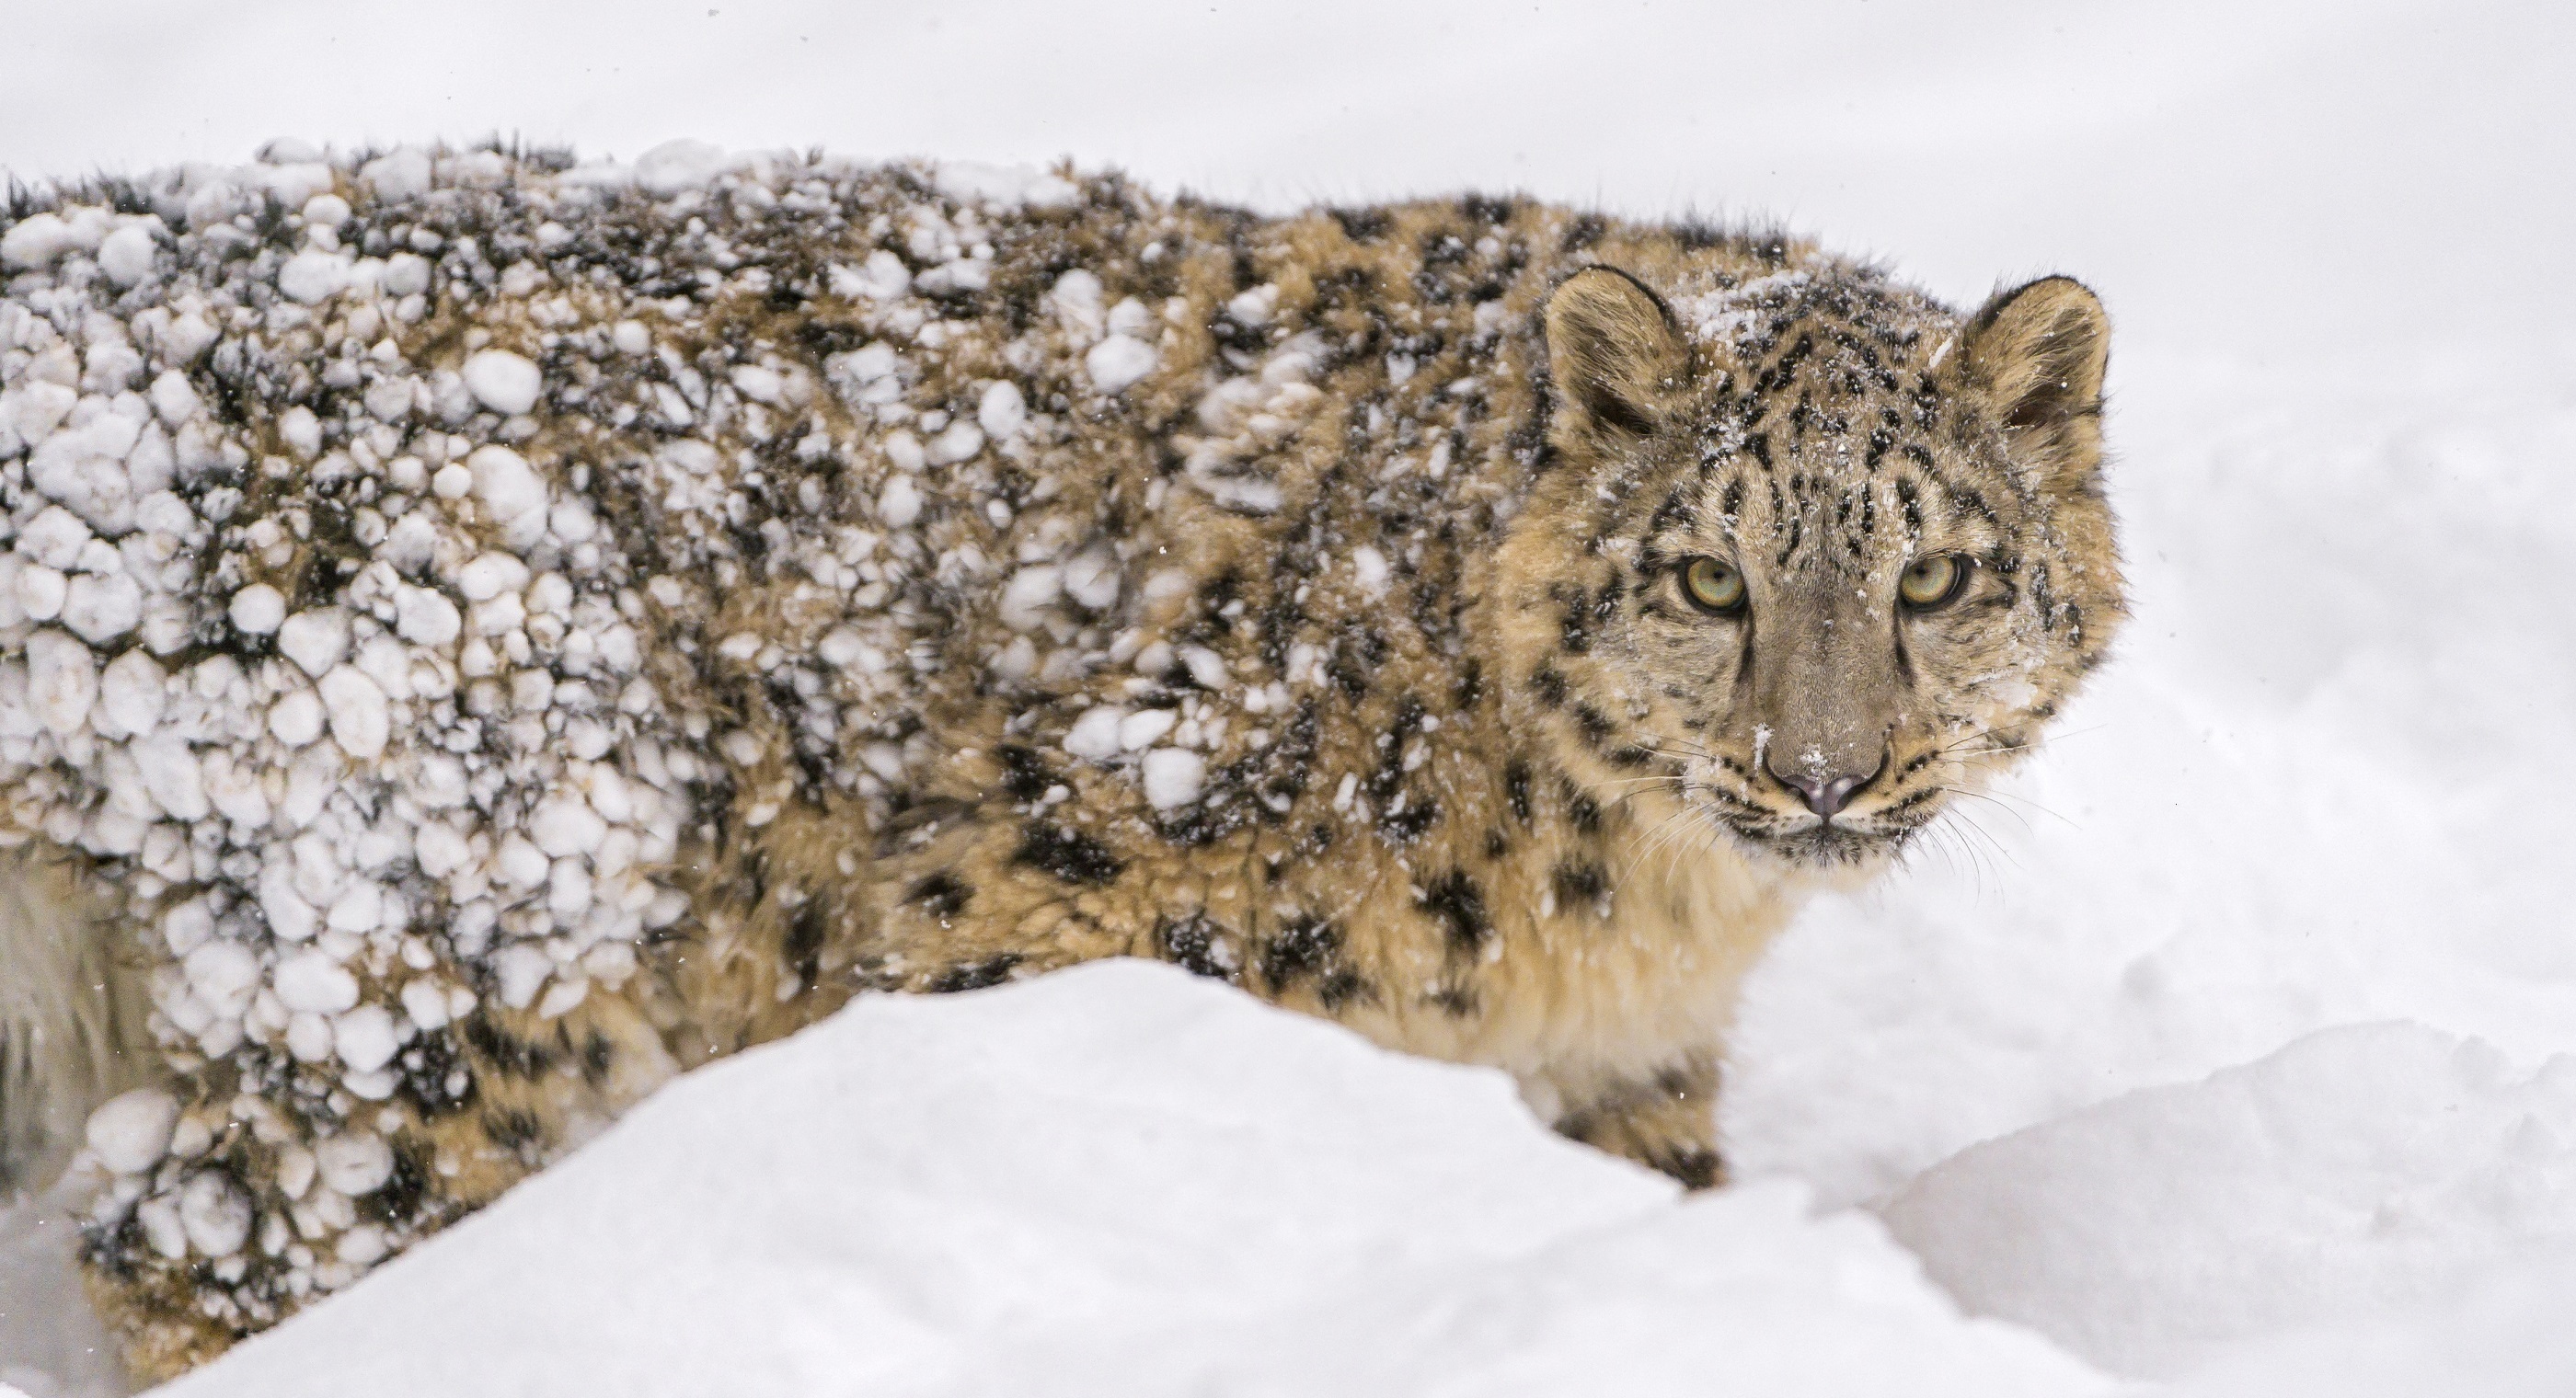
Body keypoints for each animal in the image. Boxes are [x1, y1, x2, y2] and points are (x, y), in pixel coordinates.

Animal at [0, 142, 2122, 1380]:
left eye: (1934, 574)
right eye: (1704, 573)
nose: (1823, 772)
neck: (1637, 908)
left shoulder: (1620, 1080)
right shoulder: (1039, 920)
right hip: (455, 927)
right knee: (222, 1237)